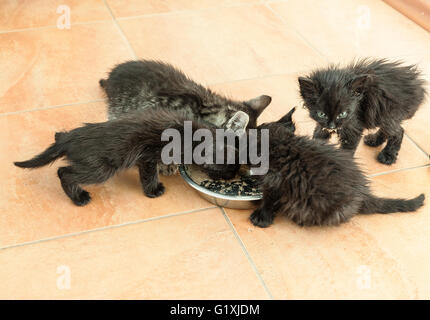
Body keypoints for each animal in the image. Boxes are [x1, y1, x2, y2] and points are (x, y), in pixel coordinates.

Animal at [14, 109, 249, 206]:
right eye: (227, 170)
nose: (232, 177)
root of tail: (70, 140)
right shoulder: (148, 157)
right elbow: (149, 175)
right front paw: (154, 190)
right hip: (101, 169)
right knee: (63, 172)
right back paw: (79, 197)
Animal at [298, 58, 426, 165]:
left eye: (343, 114)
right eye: (321, 114)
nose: (332, 126)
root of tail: (418, 85)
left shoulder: (354, 127)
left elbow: (347, 151)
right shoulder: (322, 125)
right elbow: (318, 136)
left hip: (389, 114)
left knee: (398, 132)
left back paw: (388, 155)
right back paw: (374, 140)